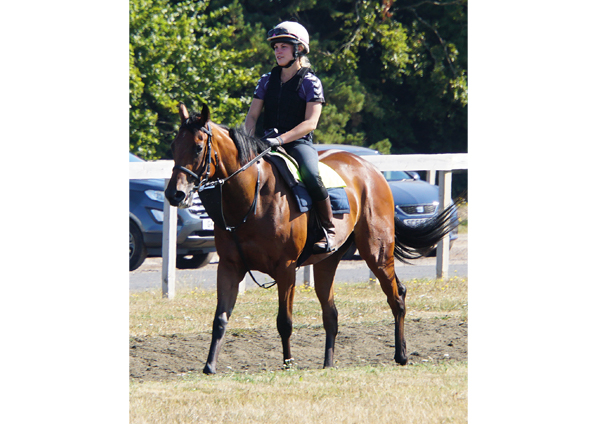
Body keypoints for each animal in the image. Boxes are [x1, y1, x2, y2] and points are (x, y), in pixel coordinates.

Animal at [165, 102, 458, 374]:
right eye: (173, 145)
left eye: (198, 147)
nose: (174, 194)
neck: (253, 198)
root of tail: (371, 170)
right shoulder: (229, 267)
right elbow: (220, 318)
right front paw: (209, 365)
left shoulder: (286, 269)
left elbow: (284, 321)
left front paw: (288, 363)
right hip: (327, 262)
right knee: (331, 314)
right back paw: (328, 363)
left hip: (377, 252)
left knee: (397, 296)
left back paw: (401, 355)